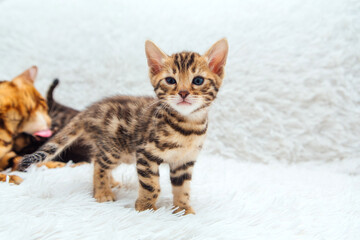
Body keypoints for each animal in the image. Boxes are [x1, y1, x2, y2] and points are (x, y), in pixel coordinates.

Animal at [19, 38, 228, 215]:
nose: (183, 93)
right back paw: (102, 191)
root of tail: (90, 110)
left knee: (96, 158)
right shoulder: (145, 154)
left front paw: (183, 208)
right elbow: (151, 185)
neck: (188, 127)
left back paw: (110, 183)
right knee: (99, 164)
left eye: (198, 80)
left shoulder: (184, 162)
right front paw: (145, 208)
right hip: (114, 149)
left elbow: (182, 188)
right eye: (170, 80)